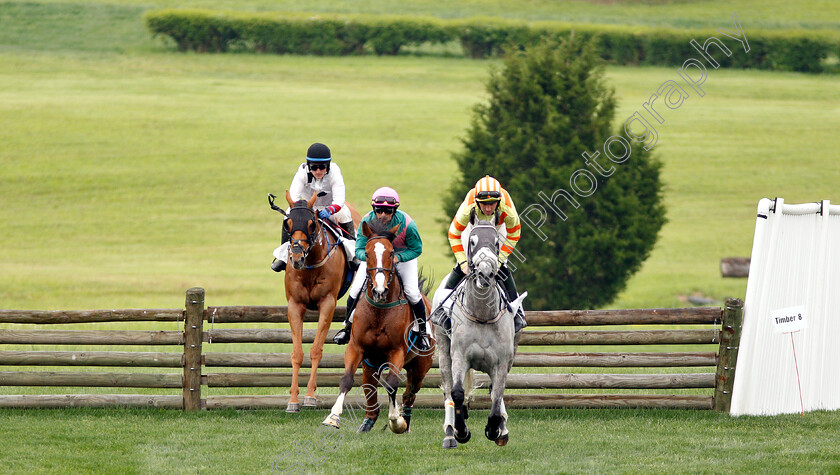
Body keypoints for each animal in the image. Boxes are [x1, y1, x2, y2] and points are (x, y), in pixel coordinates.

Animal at [278, 190, 360, 412]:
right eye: (287, 224)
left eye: (311, 224)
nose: (296, 258)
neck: (310, 265)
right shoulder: (295, 305)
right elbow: (297, 353)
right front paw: (293, 400)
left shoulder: (327, 304)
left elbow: (316, 350)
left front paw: (310, 396)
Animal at [320, 220, 434, 436]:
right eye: (366, 252)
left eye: (391, 253)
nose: (379, 290)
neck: (380, 310)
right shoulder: (356, 348)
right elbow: (347, 380)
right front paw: (332, 418)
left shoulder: (396, 352)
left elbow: (391, 384)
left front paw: (396, 421)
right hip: (370, 364)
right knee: (370, 388)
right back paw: (367, 423)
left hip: (420, 366)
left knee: (410, 393)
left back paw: (404, 423)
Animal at [434, 216, 524, 450]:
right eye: (473, 241)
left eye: (496, 242)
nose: (485, 272)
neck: (483, 314)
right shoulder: (459, 356)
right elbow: (457, 393)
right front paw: (461, 431)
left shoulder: (502, 362)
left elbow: (497, 395)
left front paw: (495, 429)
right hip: (443, 349)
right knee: (448, 389)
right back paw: (449, 433)